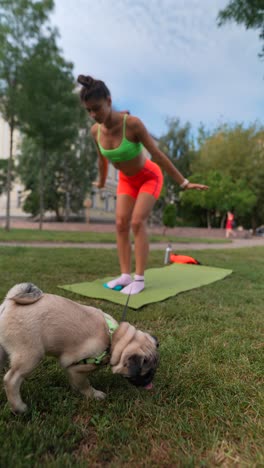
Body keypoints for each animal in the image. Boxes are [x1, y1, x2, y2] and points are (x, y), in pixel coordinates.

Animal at [0, 282, 159, 414]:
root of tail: (9, 302)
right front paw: (93, 395)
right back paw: (19, 408)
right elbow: (84, 384)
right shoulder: (77, 368)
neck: (114, 338)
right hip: (31, 356)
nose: (150, 382)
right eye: (145, 374)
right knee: (11, 379)